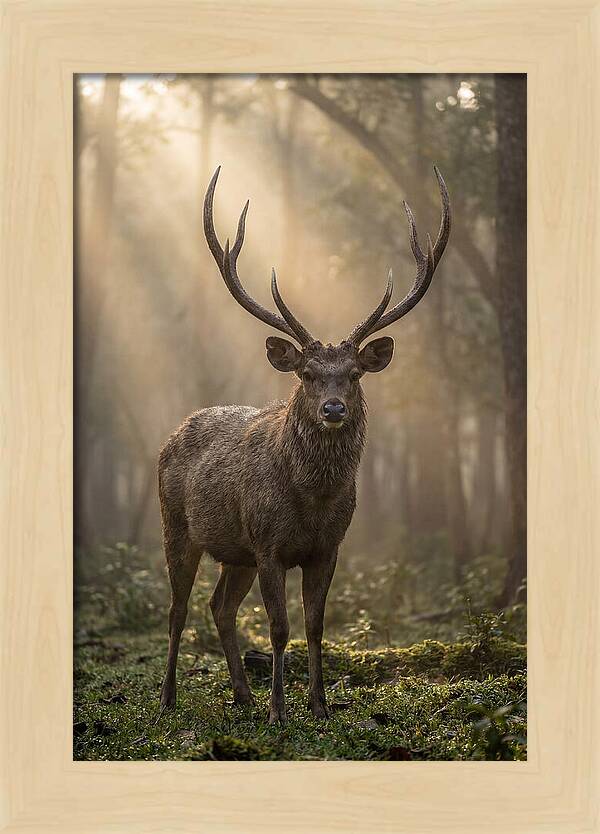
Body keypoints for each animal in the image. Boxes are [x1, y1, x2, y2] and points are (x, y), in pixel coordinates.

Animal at [159, 166, 450, 724]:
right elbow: (279, 628)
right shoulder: (269, 544)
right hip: (178, 526)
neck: (311, 501)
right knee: (178, 608)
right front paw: (279, 711)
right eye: (309, 374)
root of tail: (173, 432)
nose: (333, 409)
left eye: (354, 374)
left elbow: (315, 625)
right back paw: (168, 700)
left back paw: (242, 696)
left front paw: (319, 706)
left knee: (219, 607)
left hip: (236, 552)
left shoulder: (328, 548)